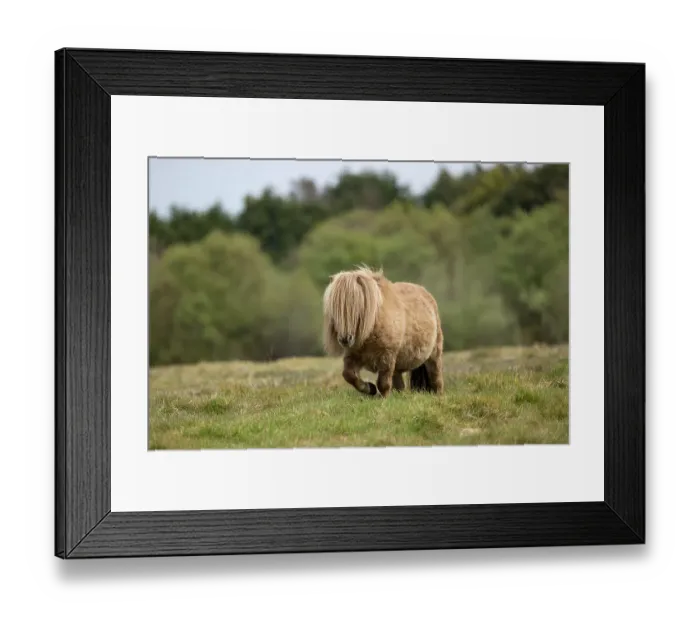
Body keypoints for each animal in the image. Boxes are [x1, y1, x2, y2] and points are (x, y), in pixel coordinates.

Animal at [322, 265, 444, 398]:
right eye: (333, 308)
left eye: (356, 306)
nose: (345, 339)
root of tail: (426, 293)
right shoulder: (353, 356)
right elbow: (349, 375)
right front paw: (370, 388)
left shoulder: (387, 357)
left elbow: (383, 384)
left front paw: (383, 399)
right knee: (400, 385)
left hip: (433, 356)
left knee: (436, 378)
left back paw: (439, 395)